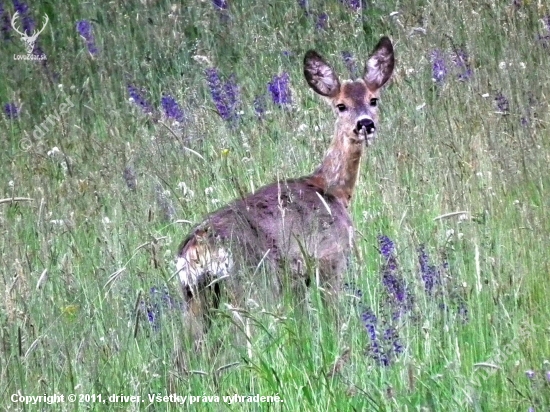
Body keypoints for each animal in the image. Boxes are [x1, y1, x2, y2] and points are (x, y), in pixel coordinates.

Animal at [175, 36, 394, 322]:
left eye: (373, 99)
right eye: (341, 105)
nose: (365, 124)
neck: (332, 189)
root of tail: (196, 248)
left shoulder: (298, 278)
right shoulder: (331, 258)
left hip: (197, 296)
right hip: (254, 283)